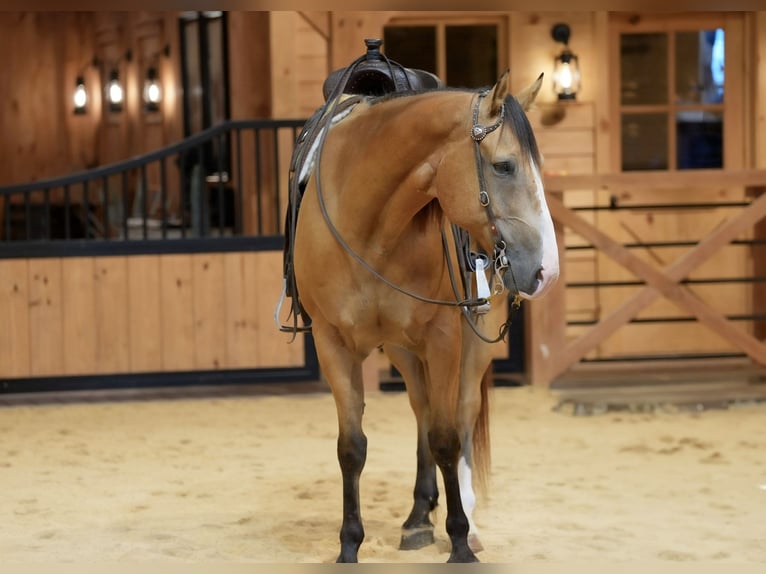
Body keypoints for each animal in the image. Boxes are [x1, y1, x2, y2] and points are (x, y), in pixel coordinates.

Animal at [290, 70, 559, 563]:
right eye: (504, 166)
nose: (547, 269)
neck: (371, 225)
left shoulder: (443, 338)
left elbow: (447, 439)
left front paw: (460, 542)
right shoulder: (332, 342)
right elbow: (351, 447)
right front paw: (349, 544)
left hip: (470, 345)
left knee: (462, 414)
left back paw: (463, 519)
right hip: (401, 348)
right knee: (422, 408)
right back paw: (417, 516)